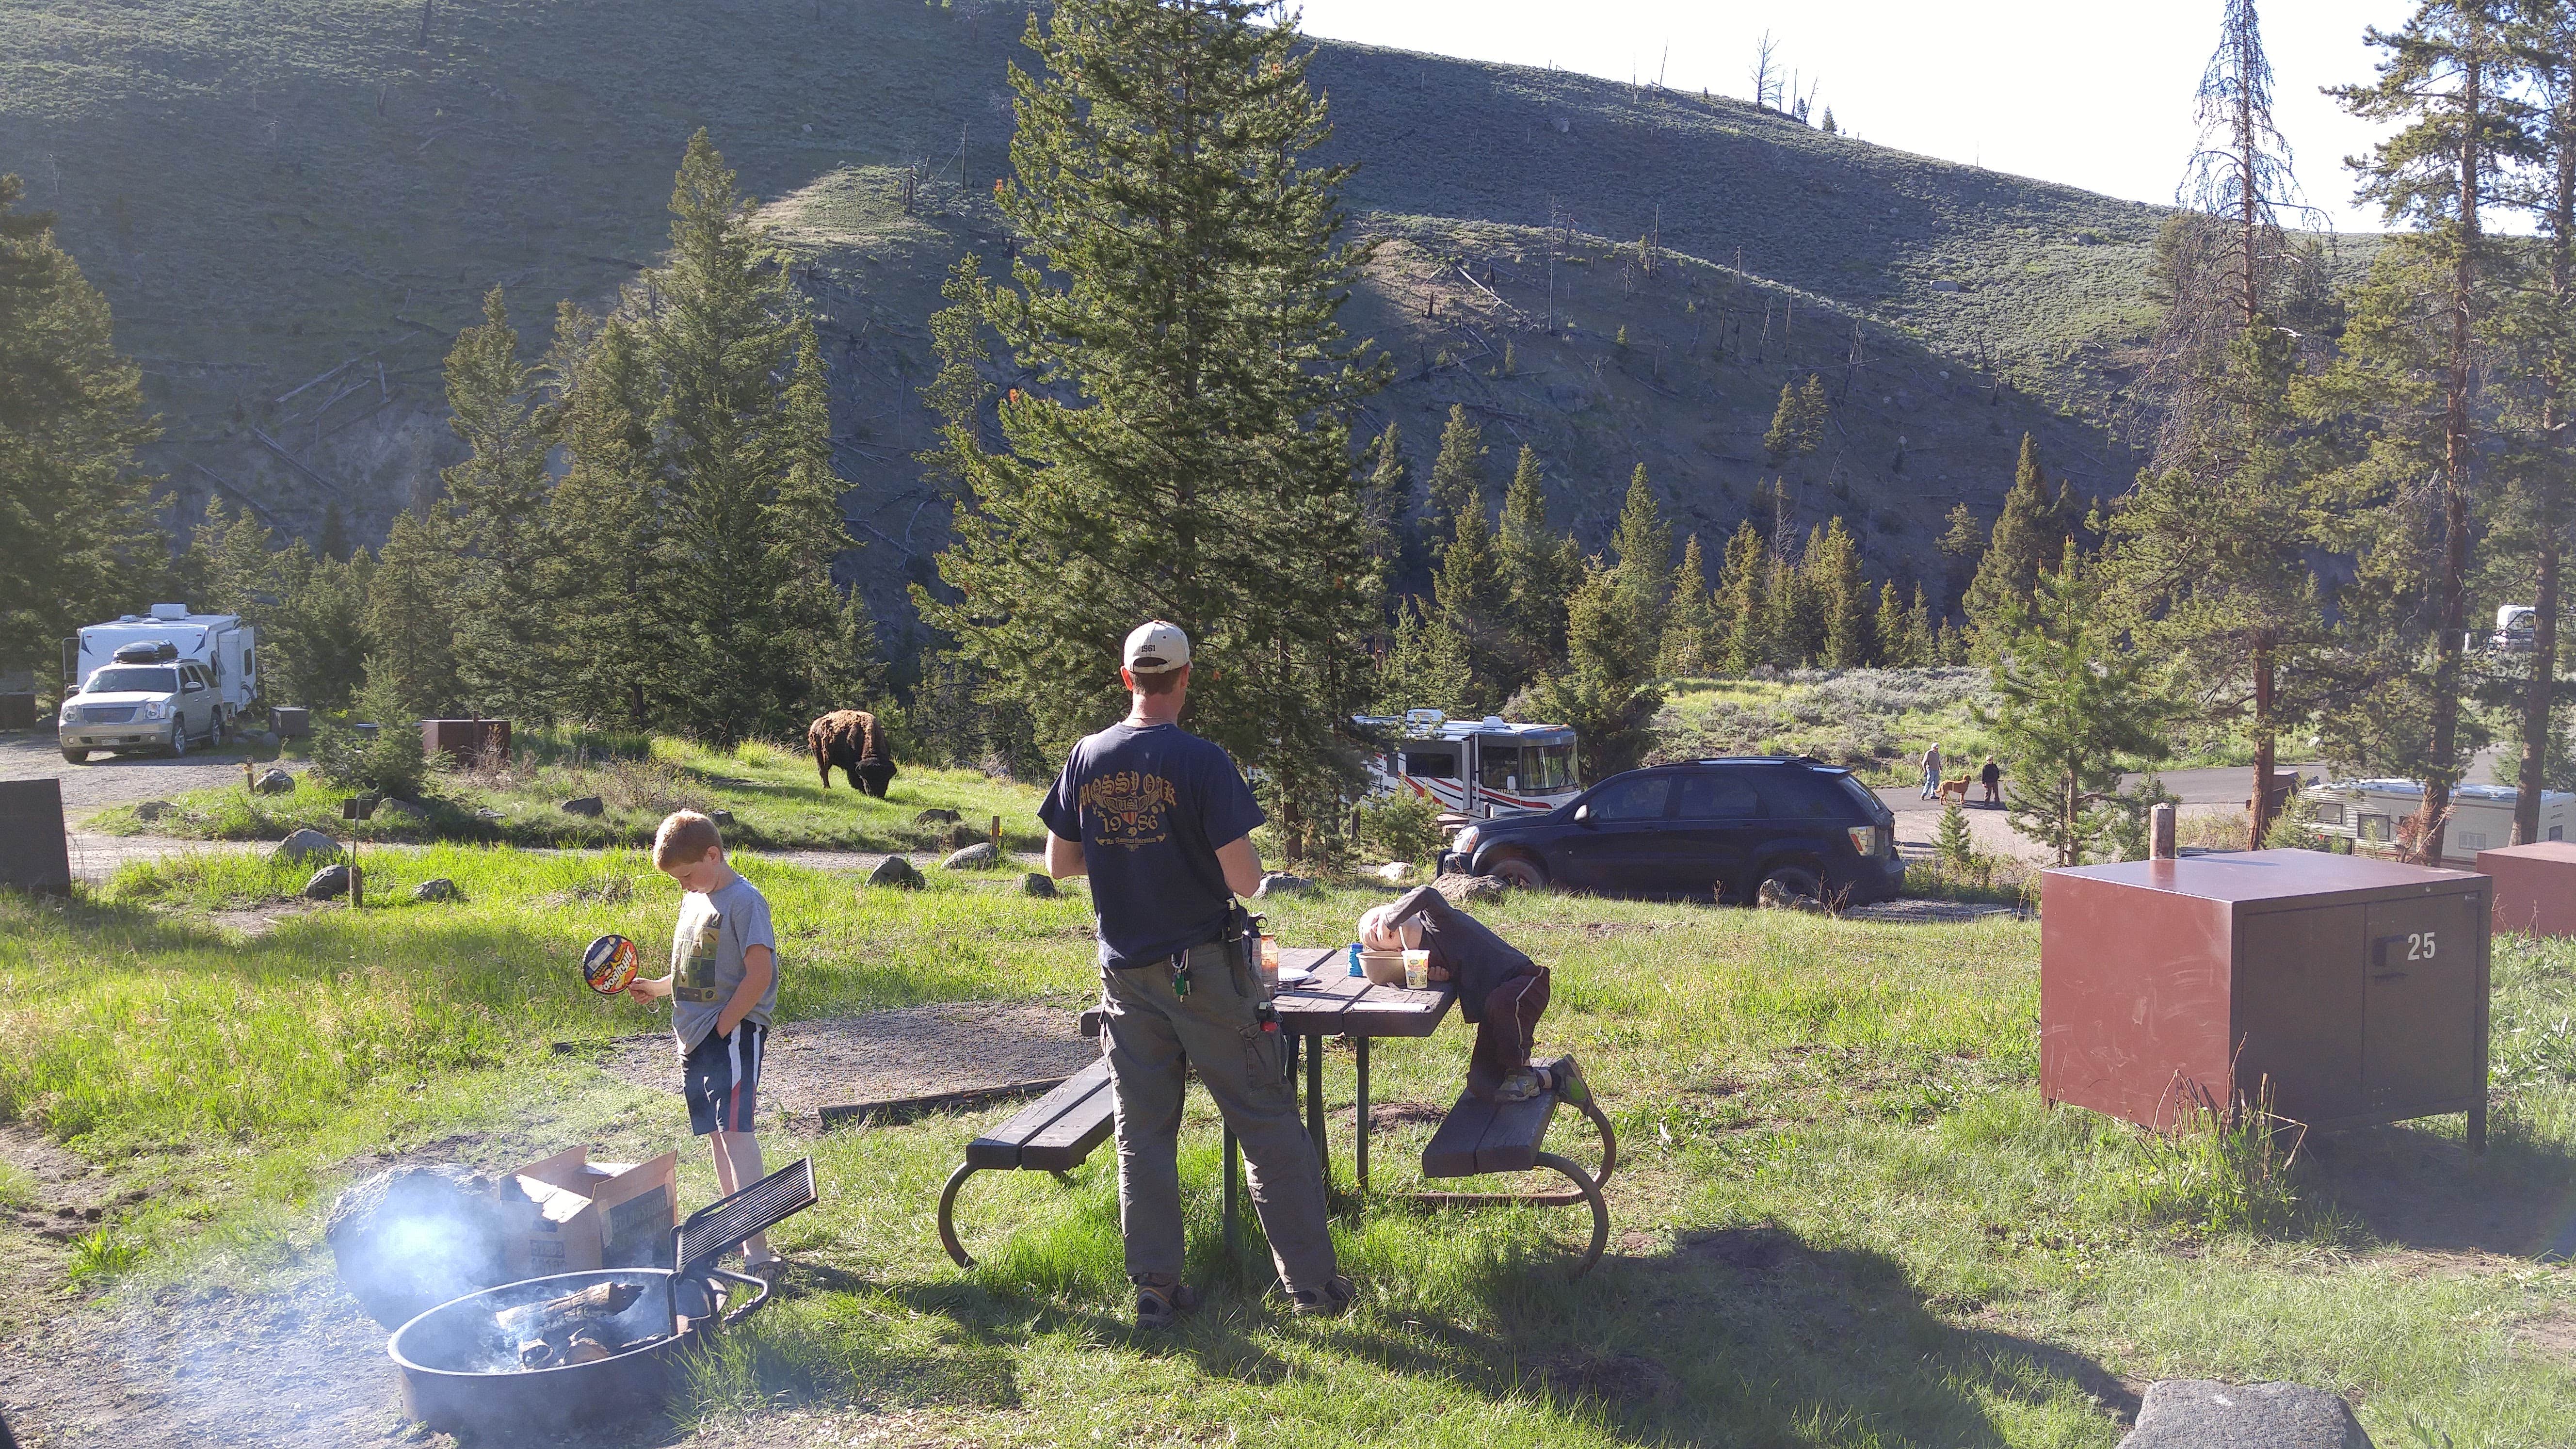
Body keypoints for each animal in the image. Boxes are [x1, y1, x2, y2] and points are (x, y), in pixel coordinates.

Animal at [808, 706, 902, 794]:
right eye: (867, 778)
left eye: (886, 779)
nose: (877, 794)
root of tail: (815, 725)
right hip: (820, 754)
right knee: (823, 770)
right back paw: (827, 787)